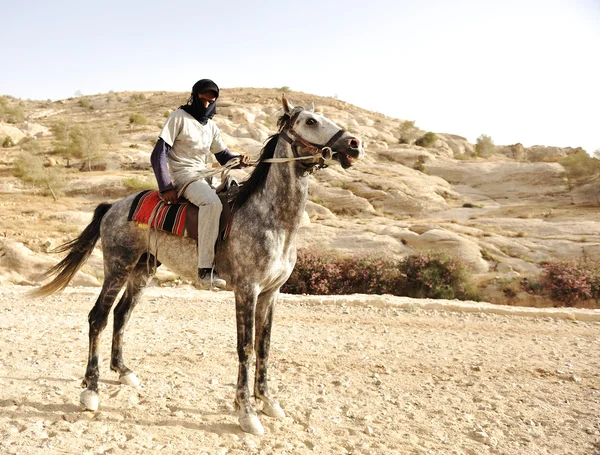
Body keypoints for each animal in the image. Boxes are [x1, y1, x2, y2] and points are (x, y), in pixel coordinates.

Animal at [36, 94, 366, 436]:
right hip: (117, 266)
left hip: (143, 270)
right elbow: (246, 347)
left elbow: (264, 345)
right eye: (311, 122)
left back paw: (124, 371)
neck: (271, 219)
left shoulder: (270, 293)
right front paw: (246, 411)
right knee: (98, 318)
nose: (355, 144)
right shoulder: (246, 290)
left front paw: (267, 400)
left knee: (121, 314)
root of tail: (113, 206)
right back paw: (91, 389)